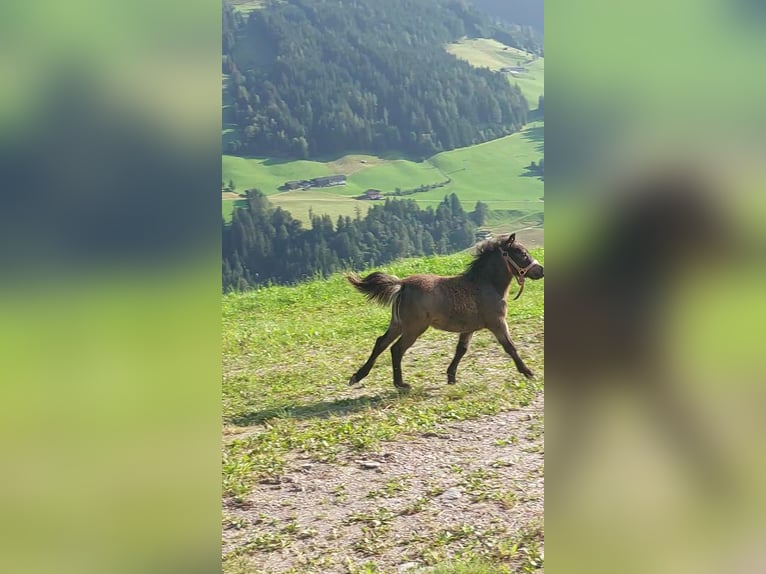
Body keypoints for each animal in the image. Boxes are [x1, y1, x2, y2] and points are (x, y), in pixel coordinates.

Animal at [350, 234, 544, 392]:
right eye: (522, 254)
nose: (541, 270)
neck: (486, 285)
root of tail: (403, 284)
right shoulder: (497, 323)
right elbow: (510, 347)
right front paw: (528, 372)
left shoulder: (469, 328)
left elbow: (461, 350)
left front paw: (451, 376)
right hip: (414, 328)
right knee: (396, 349)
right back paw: (401, 384)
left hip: (397, 324)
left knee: (381, 343)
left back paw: (357, 376)